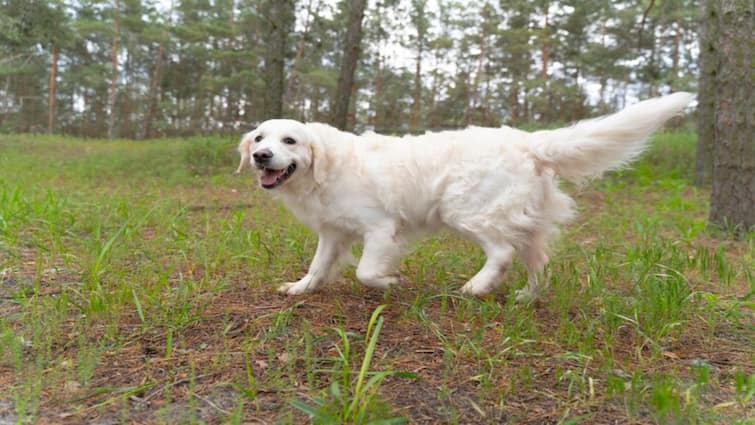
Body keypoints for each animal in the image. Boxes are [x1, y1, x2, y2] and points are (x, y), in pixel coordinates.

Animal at [236, 93, 692, 300]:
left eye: (290, 140)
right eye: (260, 137)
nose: (261, 156)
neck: (327, 168)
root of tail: (529, 142)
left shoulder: (381, 229)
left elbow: (366, 271)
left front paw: (389, 282)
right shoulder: (332, 233)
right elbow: (317, 266)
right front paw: (300, 288)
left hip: (466, 211)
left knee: (502, 253)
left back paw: (476, 287)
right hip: (524, 221)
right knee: (537, 260)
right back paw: (526, 297)